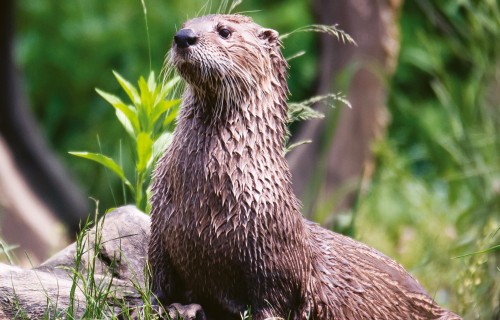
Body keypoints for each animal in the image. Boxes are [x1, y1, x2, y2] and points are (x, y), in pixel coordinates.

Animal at [148, 13, 460, 318]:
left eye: (224, 31)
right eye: (186, 24)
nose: (184, 37)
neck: (204, 198)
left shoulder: (273, 251)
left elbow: (274, 300)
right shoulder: (160, 228)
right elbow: (158, 281)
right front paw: (176, 307)